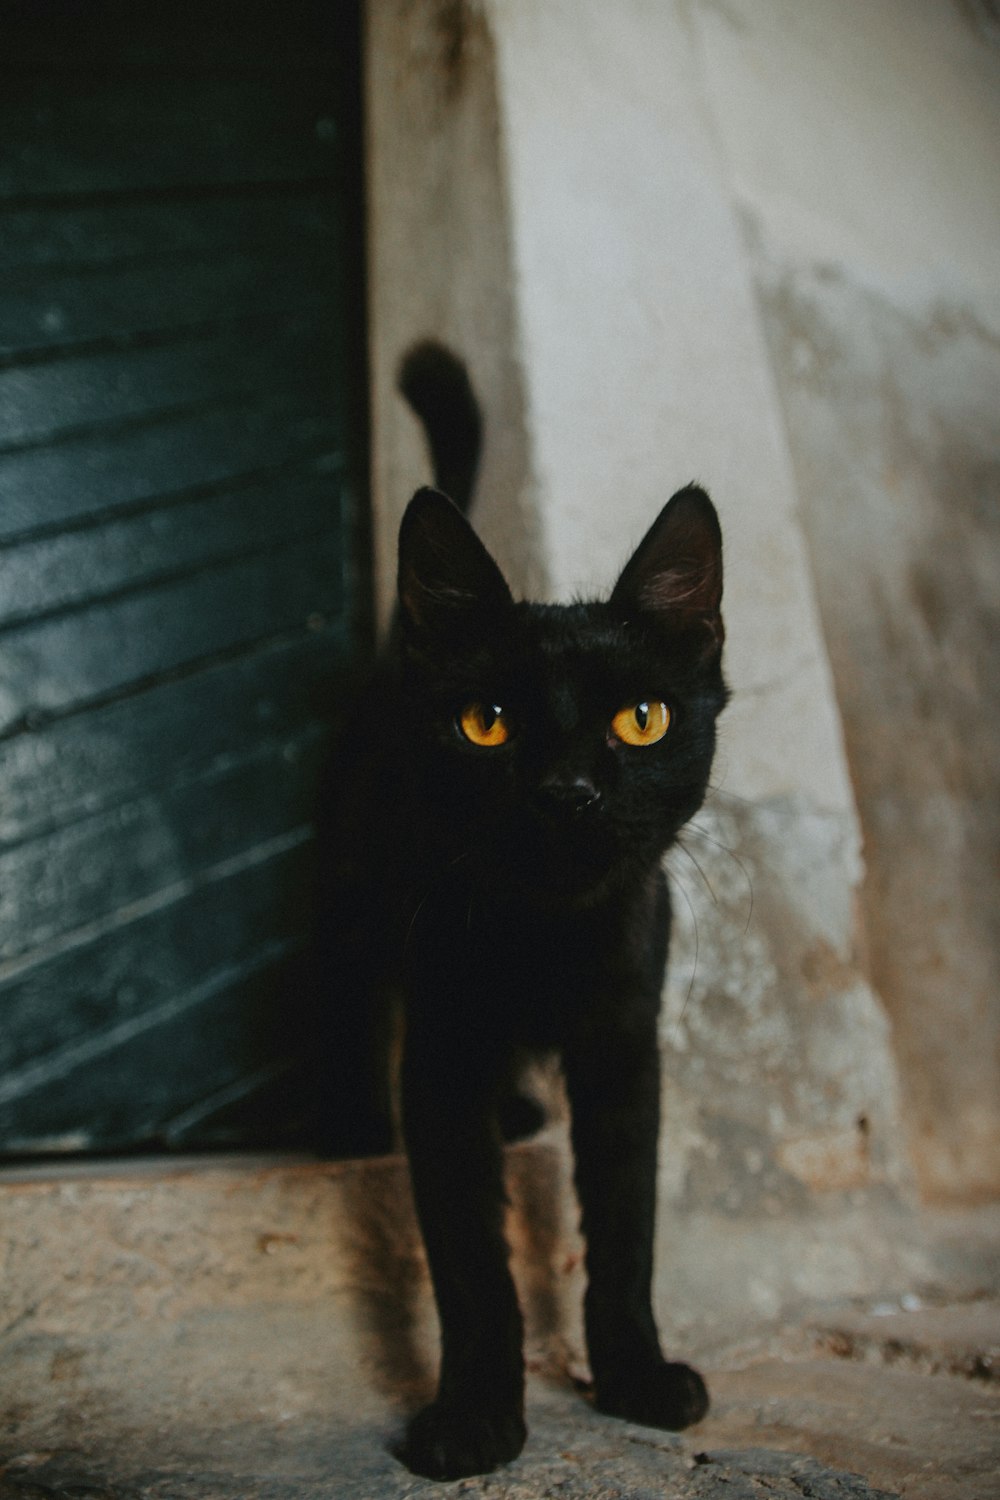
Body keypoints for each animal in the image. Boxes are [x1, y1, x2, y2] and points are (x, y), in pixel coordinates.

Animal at [319, 343, 728, 1476]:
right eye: (486, 723)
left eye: (642, 719)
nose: (569, 792)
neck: (547, 935)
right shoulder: (444, 1048)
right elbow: (468, 1256)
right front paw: (471, 1418)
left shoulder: (625, 1049)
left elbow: (625, 1229)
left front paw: (637, 1378)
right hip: (365, 902)